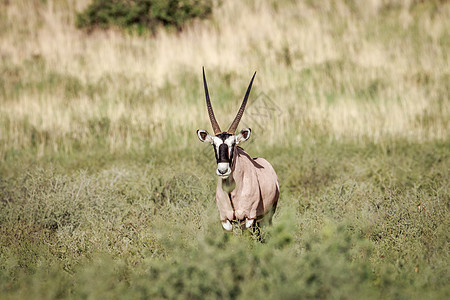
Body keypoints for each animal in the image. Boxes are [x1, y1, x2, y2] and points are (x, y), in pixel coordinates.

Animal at [196, 68, 278, 232]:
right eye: (213, 144)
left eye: (233, 144)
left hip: (267, 215)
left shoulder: (248, 218)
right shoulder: (226, 221)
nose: (223, 170)